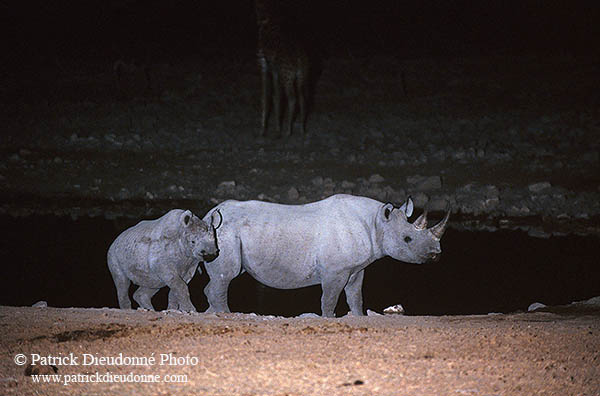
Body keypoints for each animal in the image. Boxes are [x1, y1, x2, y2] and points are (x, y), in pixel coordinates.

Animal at [203, 193, 450, 318]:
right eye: (407, 239)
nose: (436, 255)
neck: (377, 223)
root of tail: (207, 215)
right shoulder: (335, 271)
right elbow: (329, 299)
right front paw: (329, 319)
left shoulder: (356, 268)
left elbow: (355, 297)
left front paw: (358, 317)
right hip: (225, 233)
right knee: (226, 276)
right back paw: (227, 315)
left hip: (220, 234)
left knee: (221, 278)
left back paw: (210, 313)